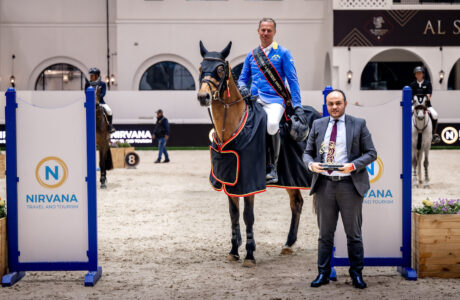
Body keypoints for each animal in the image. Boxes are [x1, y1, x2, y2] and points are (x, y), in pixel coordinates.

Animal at [197, 41, 306, 268]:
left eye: (220, 69)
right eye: (201, 68)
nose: (203, 97)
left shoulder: (249, 181)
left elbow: (248, 216)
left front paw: (249, 254)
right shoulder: (230, 178)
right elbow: (233, 215)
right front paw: (233, 250)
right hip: (291, 179)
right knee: (297, 203)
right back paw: (289, 243)